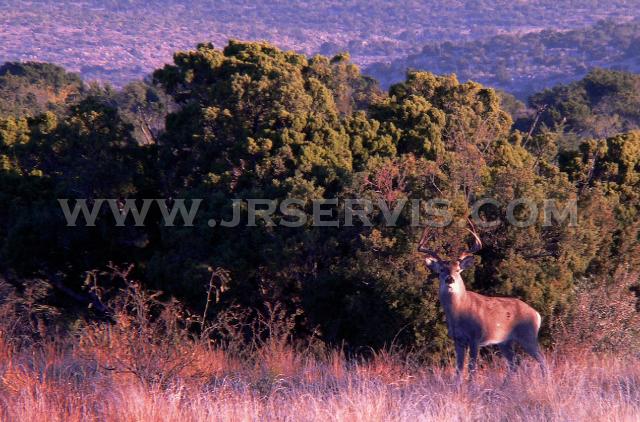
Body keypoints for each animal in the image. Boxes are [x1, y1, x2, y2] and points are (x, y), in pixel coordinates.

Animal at [420, 226, 544, 380]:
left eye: (458, 270)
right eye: (442, 269)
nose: (450, 279)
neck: (460, 312)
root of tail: (537, 314)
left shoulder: (476, 337)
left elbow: (472, 368)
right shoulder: (458, 339)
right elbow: (459, 369)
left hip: (528, 335)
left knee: (542, 360)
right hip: (505, 342)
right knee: (514, 365)